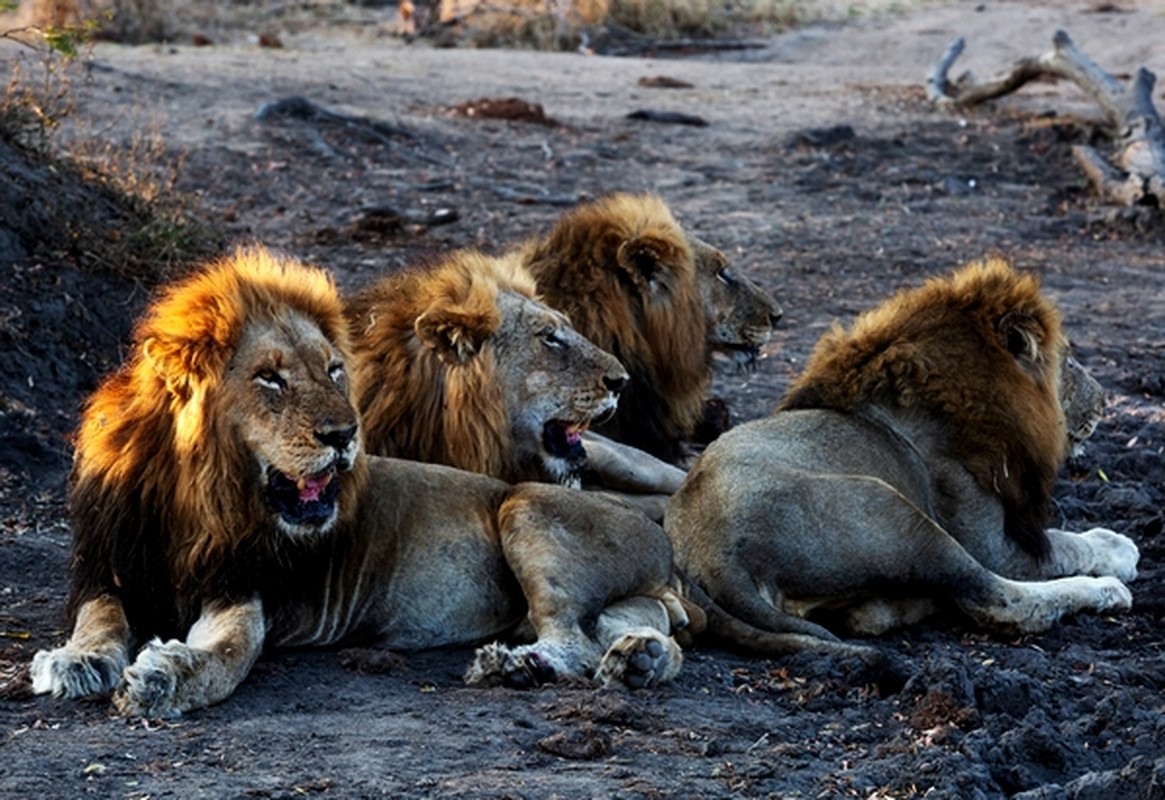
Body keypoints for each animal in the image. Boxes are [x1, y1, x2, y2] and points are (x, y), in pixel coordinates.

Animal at [666, 256, 1137, 652]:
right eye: (1070, 362)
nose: (1106, 401)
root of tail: (715, 557)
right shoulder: (991, 543)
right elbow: (1065, 544)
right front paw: (1117, 547)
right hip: (898, 514)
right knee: (997, 600)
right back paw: (1107, 591)